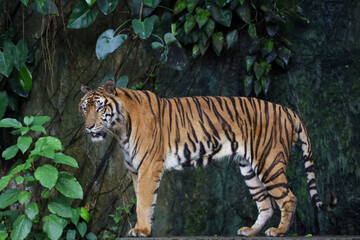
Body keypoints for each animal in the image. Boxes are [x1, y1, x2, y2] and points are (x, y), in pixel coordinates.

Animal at [80, 80, 336, 236]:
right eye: (84, 108)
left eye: (100, 107)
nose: (88, 126)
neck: (120, 129)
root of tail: (287, 110)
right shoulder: (135, 169)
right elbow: (142, 201)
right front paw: (146, 228)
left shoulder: (148, 167)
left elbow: (143, 201)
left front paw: (141, 230)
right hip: (249, 168)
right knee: (266, 204)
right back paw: (251, 231)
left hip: (269, 162)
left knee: (288, 198)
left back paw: (279, 231)